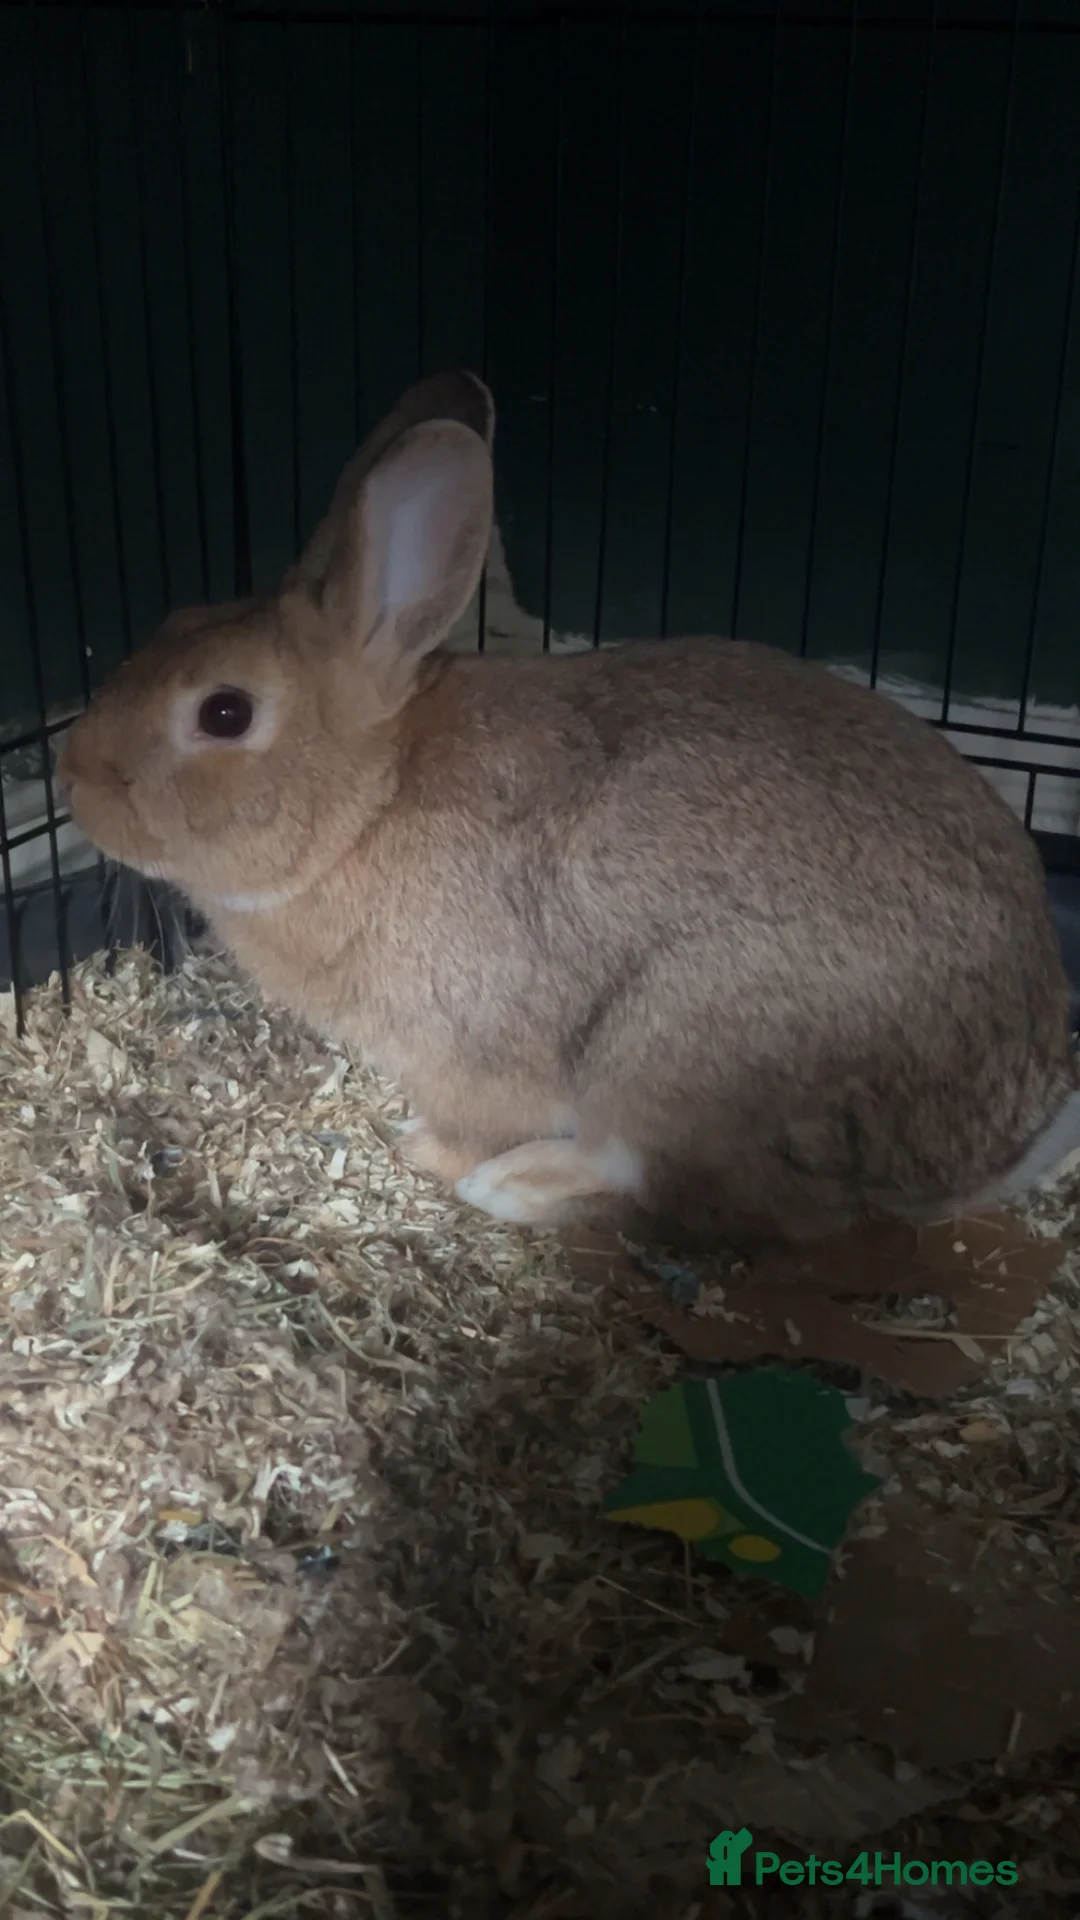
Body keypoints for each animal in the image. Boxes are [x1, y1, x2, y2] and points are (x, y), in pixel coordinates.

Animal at [57, 369, 1080, 1247]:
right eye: (171, 620)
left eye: (225, 713)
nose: (72, 779)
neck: (369, 805)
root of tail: (973, 1152)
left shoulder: (470, 1053)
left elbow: (470, 1121)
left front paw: (420, 1148)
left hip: (667, 1049)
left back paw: (517, 1186)